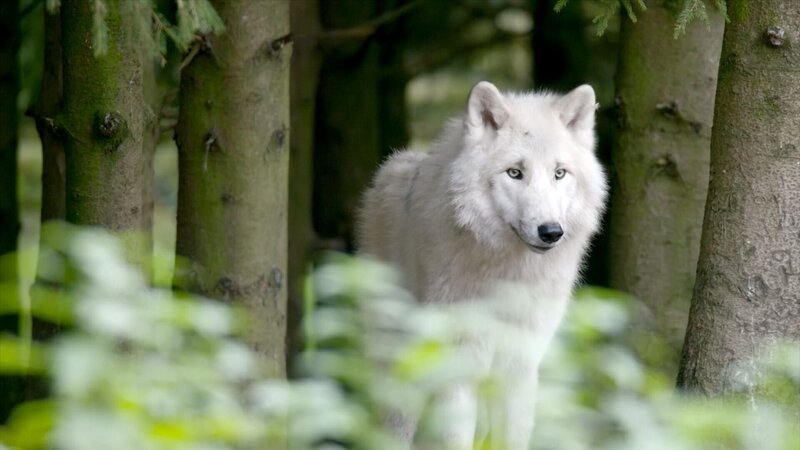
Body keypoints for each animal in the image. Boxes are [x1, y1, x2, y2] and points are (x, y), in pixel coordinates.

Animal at [357, 81, 607, 449]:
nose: (550, 232)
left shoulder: (519, 365)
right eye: (515, 173)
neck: (508, 276)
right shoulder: (458, 362)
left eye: (559, 173)